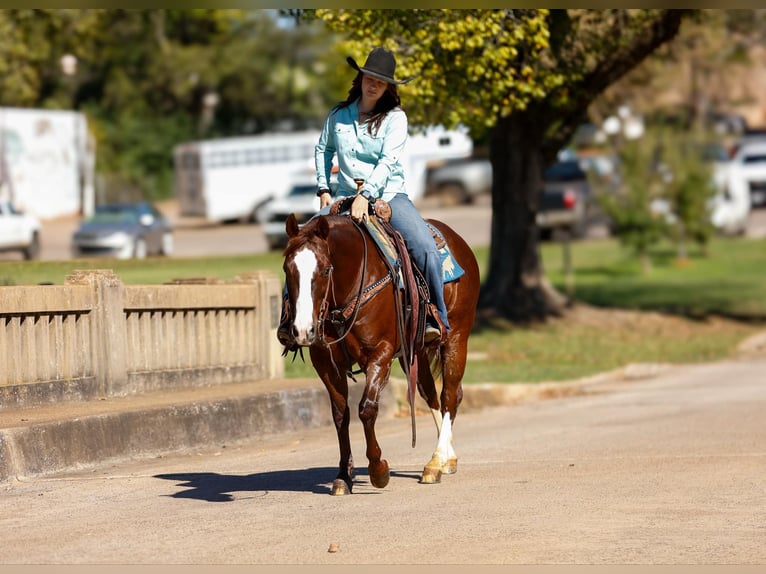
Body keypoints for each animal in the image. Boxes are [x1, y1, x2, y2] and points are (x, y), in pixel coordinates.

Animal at [281, 210, 480, 495]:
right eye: (287, 269)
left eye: (326, 269)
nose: (302, 330)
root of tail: (459, 241)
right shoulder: (326, 363)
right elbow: (341, 415)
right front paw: (343, 476)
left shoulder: (380, 353)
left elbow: (366, 409)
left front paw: (378, 470)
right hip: (415, 352)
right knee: (431, 395)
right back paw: (447, 459)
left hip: (456, 338)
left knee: (450, 396)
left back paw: (434, 462)